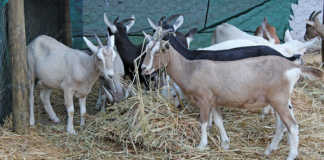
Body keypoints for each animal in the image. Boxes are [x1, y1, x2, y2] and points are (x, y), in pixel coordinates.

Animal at [142, 29, 324, 159]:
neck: (190, 66)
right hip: (278, 100)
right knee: (282, 124)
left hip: (279, 99)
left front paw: (201, 146)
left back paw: (290, 156)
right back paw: (269, 150)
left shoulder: (204, 99)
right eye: (146, 49)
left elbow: (203, 123)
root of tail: (293, 65)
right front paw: (225, 144)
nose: (144, 69)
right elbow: (218, 121)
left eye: (160, 50)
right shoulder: (213, 99)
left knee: (292, 126)